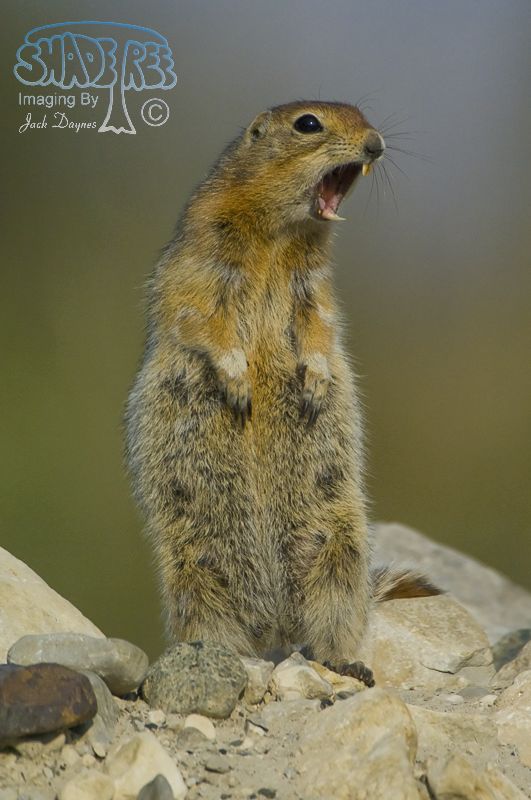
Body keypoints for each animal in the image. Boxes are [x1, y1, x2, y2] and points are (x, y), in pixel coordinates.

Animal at [125, 100, 438, 686]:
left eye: (362, 114)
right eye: (308, 124)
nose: (376, 143)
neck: (281, 234)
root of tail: (272, 625)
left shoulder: (315, 283)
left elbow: (320, 323)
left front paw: (314, 381)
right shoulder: (203, 254)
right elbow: (198, 313)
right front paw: (237, 381)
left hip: (339, 551)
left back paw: (344, 662)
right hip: (193, 568)